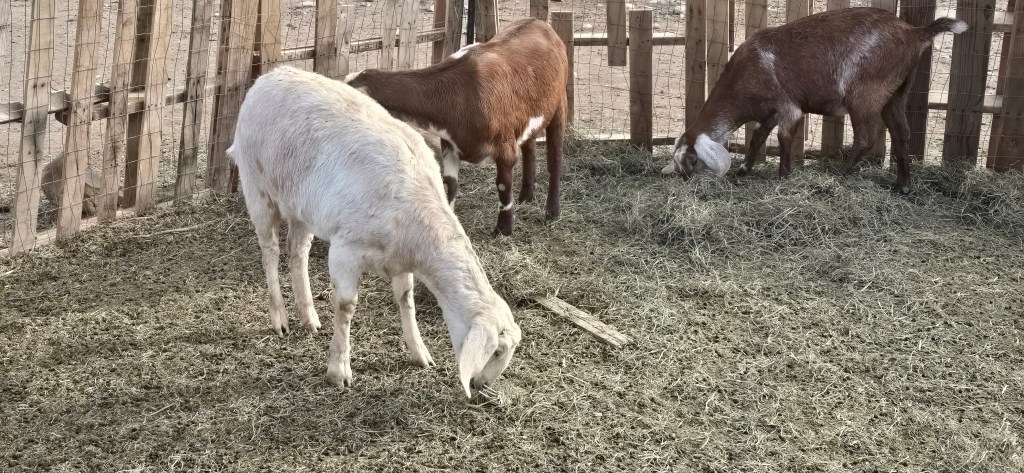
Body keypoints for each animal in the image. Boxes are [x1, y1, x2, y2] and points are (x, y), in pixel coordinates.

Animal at [228, 66, 522, 397]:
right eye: (496, 351)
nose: (483, 386)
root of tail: (269, 75)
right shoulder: (345, 251)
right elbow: (346, 307)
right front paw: (339, 369)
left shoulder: (399, 259)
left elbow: (406, 299)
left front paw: (420, 353)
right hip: (257, 186)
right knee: (270, 250)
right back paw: (279, 318)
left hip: (301, 205)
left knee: (297, 252)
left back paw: (309, 317)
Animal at [345, 18, 569, 236]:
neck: (461, 93)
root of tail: (540, 23)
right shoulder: (449, 144)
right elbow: (449, 184)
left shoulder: (505, 146)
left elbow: (503, 185)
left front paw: (504, 229)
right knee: (530, 146)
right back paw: (526, 196)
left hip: (559, 104)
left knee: (555, 159)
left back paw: (552, 212)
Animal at [662, 8, 967, 193]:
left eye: (692, 161)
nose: (688, 184)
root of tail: (915, 33)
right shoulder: (769, 112)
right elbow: (758, 137)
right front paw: (745, 168)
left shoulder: (788, 106)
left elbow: (784, 138)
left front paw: (784, 177)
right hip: (897, 93)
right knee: (902, 134)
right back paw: (902, 186)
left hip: (866, 93)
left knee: (867, 138)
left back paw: (840, 174)